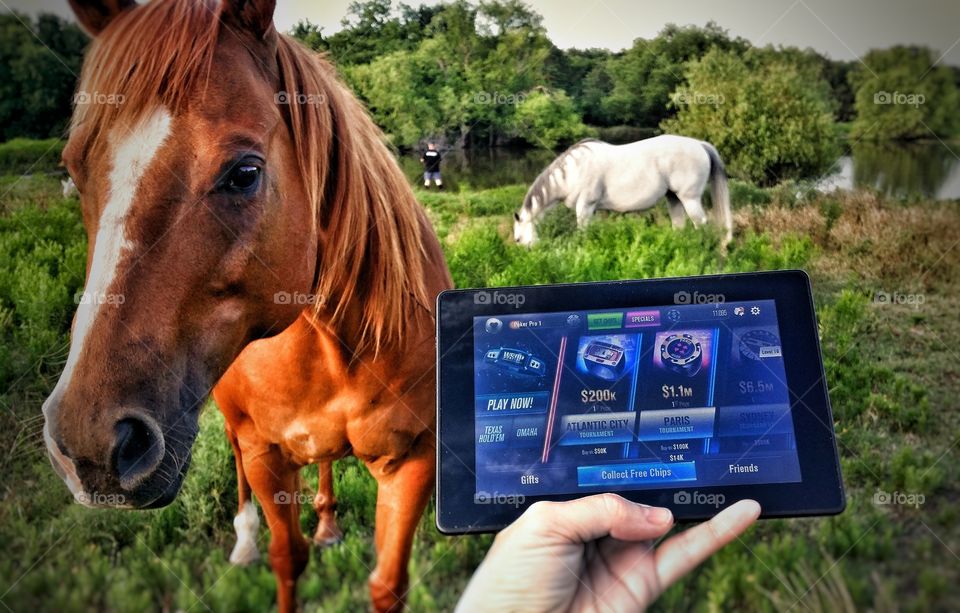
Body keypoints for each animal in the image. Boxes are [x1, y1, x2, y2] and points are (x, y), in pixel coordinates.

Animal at [40, 1, 450, 612]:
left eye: (245, 173)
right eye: (73, 170)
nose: (89, 446)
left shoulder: (412, 463)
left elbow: (387, 583)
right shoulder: (264, 454)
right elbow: (288, 556)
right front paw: (265, 544)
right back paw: (245, 539)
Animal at [512, 135, 732, 247]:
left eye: (517, 239)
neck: (573, 171)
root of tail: (700, 145)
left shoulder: (585, 206)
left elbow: (582, 231)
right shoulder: (592, 209)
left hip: (690, 199)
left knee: (700, 224)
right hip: (674, 198)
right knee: (679, 225)